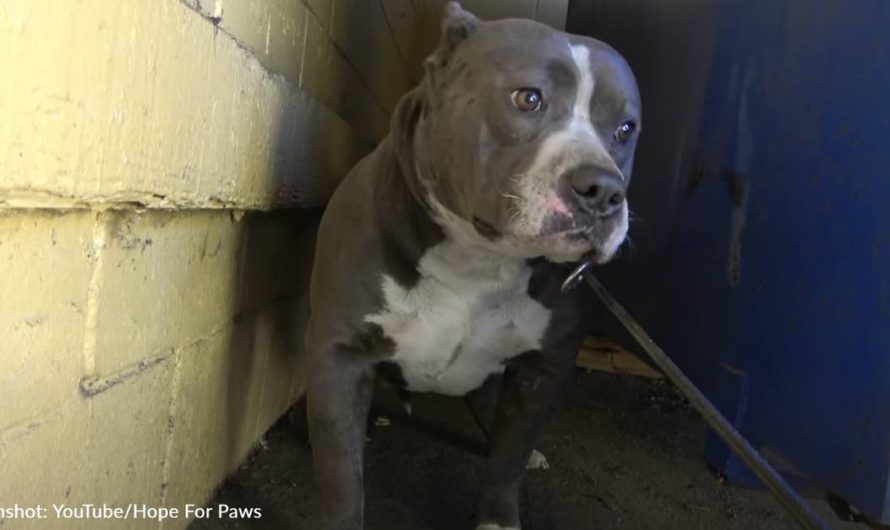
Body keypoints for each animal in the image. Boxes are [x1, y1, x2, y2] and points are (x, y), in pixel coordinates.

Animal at [306, 3, 640, 524]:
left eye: (626, 129)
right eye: (528, 98)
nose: (604, 190)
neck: (480, 262)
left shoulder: (546, 369)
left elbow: (508, 460)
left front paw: (498, 516)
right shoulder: (339, 356)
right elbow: (341, 479)